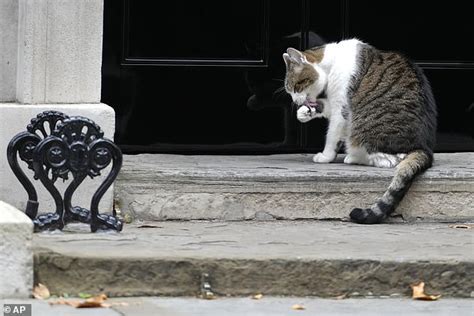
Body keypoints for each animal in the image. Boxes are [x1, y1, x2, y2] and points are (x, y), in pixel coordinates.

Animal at [282, 38, 436, 223]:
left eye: (296, 87)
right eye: (289, 91)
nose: (296, 102)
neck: (332, 63)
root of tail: (424, 148)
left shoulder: (341, 107)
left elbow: (332, 135)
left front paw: (325, 156)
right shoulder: (332, 103)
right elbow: (322, 107)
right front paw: (304, 113)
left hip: (361, 130)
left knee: (389, 160)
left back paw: (352, 157)